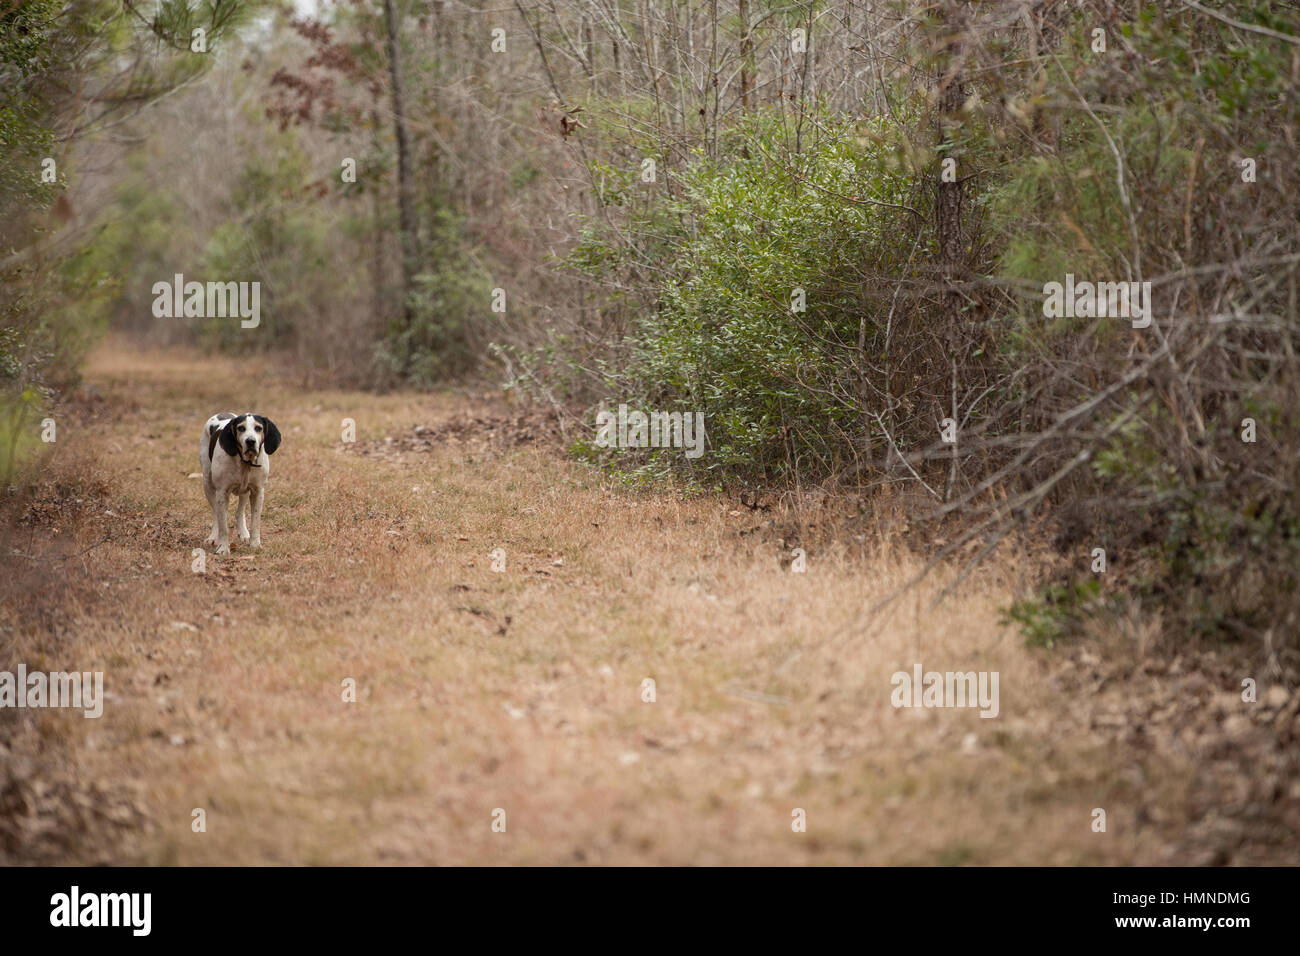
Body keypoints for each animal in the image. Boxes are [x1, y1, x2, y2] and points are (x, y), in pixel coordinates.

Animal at [198, 411, 280, 554]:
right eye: (241, 428)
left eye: (258, 428)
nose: (250, 441)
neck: (245, 463)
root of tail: (222, 413)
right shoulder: (222, 493)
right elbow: (223, 525)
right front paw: (223, 548)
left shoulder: (258, 492)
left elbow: (255, 522)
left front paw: (255, 544)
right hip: (207, 483)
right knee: (216, 513)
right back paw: (213, 537)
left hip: (245, 491)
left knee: (239, 512)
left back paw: (244, 533)